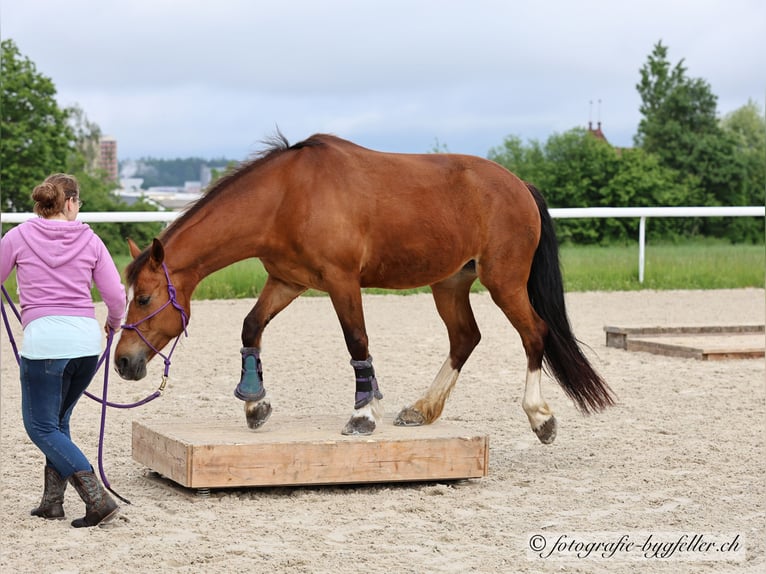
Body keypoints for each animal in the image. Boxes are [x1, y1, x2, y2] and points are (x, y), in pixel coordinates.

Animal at [115, 134, 616, 440]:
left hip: (504, 282)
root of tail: (519, 185)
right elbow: (250, 327)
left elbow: (357, 342)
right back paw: (422, 409)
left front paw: (361, 414)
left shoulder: (342, 282)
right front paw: (255, 404)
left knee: (534, 334)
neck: (287, 196)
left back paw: (540, 417)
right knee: (465, 338)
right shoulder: (287, 281)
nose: (122, 362)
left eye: (145, 298)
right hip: (450, 283)